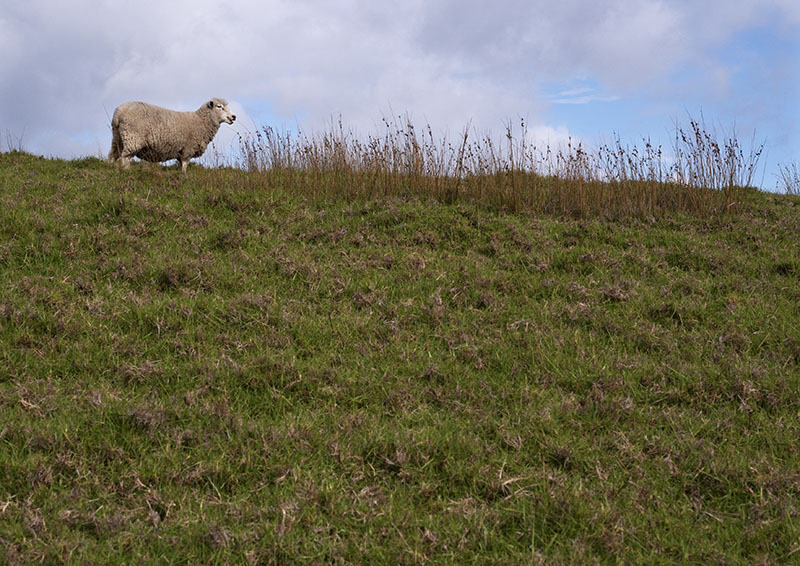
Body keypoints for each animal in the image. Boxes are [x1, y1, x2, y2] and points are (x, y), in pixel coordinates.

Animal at [108, 98, 236, 173]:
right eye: (219, 106)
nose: (234, 117)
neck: (200, 121)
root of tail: (118, 113)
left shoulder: (181, 151)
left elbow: (180, 165)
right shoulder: (188, 148)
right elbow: (185, 164)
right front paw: (184, 177)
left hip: (117, 138)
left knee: (113, 155)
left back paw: (109, 168)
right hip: (133, 137)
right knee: (125, 157)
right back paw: (127, 171)